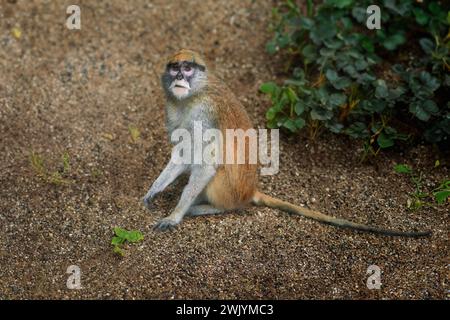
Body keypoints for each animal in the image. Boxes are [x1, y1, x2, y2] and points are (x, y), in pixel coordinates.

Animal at [142, 48, 430, 236]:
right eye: (174, 68)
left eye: (188, 68)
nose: (179, 77)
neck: (193, 94)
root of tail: (250, 190)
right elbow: (184, 152)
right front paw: (154, 191)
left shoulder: (204, 113)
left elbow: (206, 164)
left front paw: (175, 216)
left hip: (228, 189)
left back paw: (210, 208)